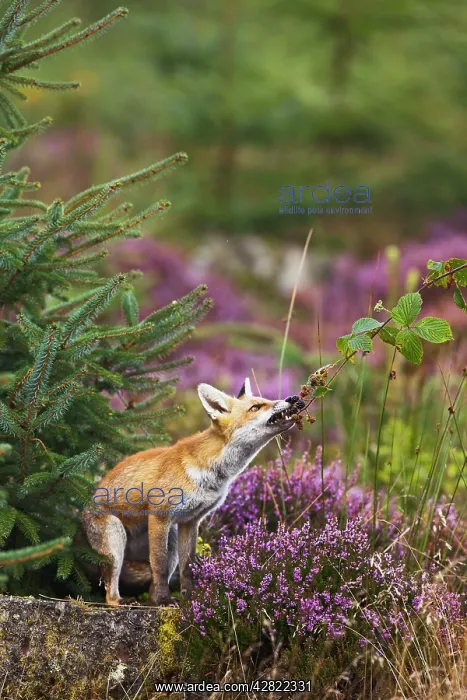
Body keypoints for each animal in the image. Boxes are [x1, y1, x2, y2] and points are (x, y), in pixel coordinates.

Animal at [82, 378, 302, 606]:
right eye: (256, 407)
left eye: (266, 399)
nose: (293, 398)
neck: (212, 472)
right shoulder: (159, 516)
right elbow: (159, 566)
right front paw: (163, 601)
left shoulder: (191, 521)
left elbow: (187, 567)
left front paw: (191, 600)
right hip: (118, 540)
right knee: (111, 589)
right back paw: (122, 600)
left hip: (171, 541)